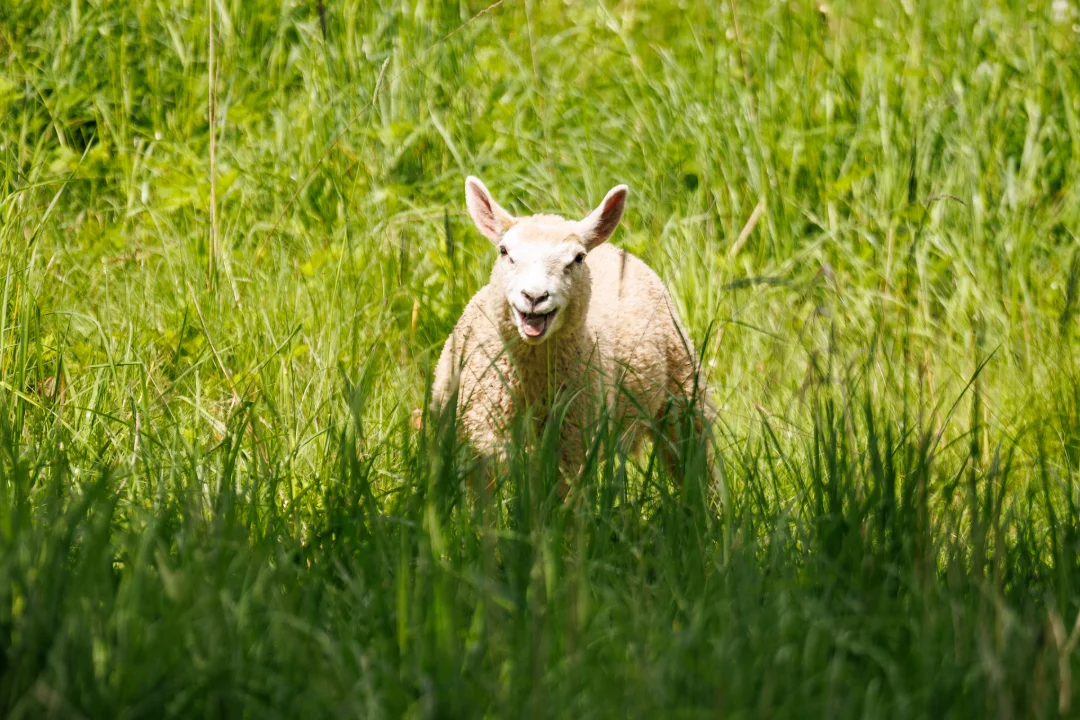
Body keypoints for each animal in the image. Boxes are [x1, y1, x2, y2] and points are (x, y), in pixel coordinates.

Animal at [431, 176, 710, 483]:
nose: (535, 296)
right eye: (504, 252)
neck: (531, 377)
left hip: (684, 395)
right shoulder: (479, 445)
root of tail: (614, 249)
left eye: (577, 258)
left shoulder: (570, 452)